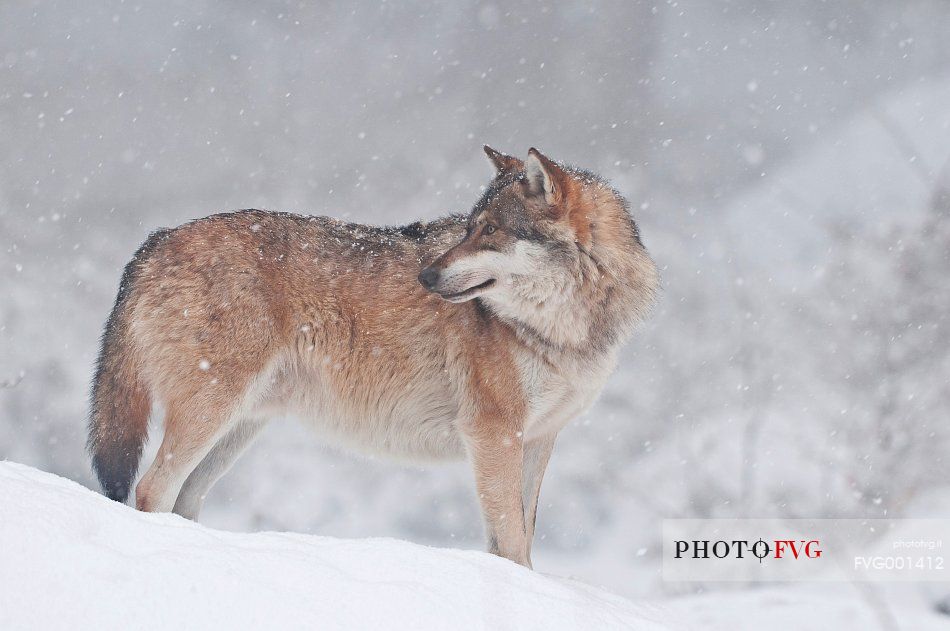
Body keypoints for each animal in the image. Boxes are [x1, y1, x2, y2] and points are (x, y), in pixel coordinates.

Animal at [85, 147, 660, 568]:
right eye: (471, 228)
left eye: (490, 231)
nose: (427, 276)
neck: (563, 330)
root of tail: (153, 242)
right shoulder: (493, 433)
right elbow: (512, 541)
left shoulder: (539, 439)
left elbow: (521, 536)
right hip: (210, 413)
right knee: (149, 489)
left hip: (236, 431)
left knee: (182, 501)